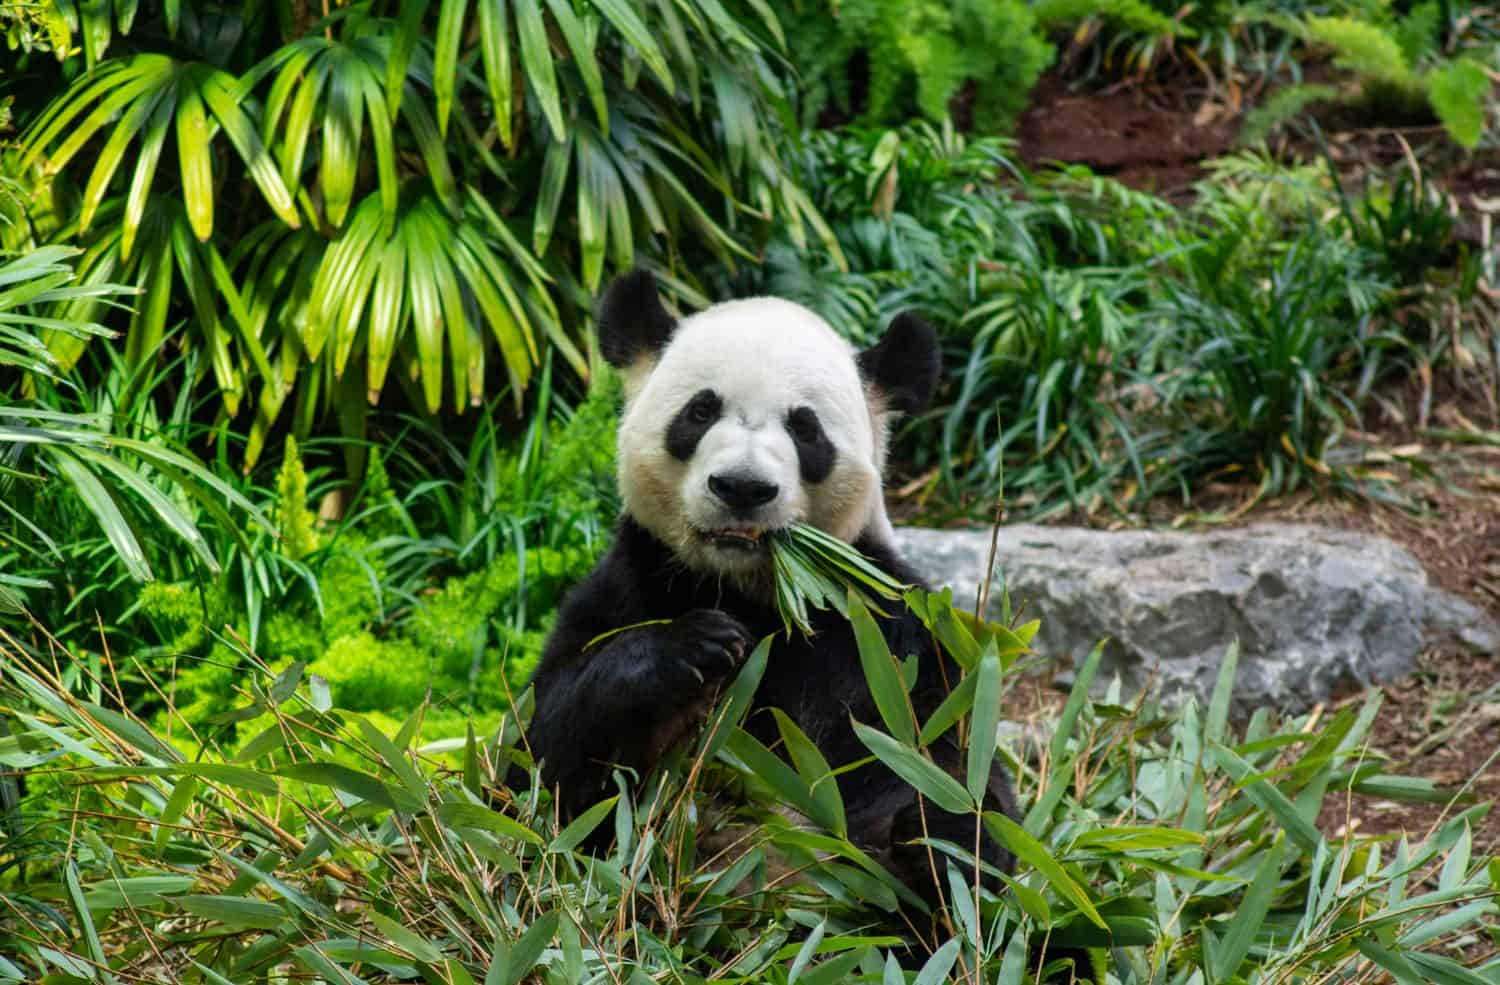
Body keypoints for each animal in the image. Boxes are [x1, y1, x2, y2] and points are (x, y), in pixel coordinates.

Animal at [526, 270, 1018, 901]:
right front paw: (694, 647)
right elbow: (541, 758)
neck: (752, 590)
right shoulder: (630, 584)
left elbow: (939, 757)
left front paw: (938, 835)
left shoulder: (880, 633)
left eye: (805, 429)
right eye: (700, 411)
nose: (742, 486)